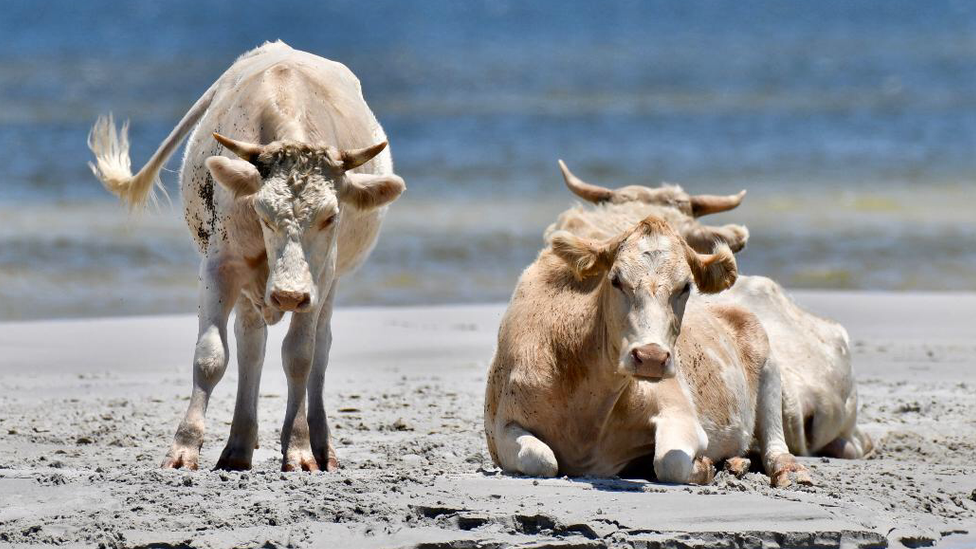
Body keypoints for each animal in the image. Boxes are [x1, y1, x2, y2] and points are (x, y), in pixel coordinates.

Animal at [86, 41, 402, 470]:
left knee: (319, 347)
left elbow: (299, 356)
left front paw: (299, 450)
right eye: (262, 212)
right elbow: (211, 356)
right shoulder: (220, 266)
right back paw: (238, 445)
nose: (288, 295)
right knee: (251, 343)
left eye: (332, 216)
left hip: (330, 283)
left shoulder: (319, 279)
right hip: (251, 286)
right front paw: (183, 448)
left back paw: (320, 445)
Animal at [484, 214, 812, 484]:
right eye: (615, 280)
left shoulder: (680, 413)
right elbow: (541, 459)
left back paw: (788, 471)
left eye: (686, 286)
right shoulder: (501, 427)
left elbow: (671, 464)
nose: (651, 358)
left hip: (768, 362)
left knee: (774, 442)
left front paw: (704, 466)